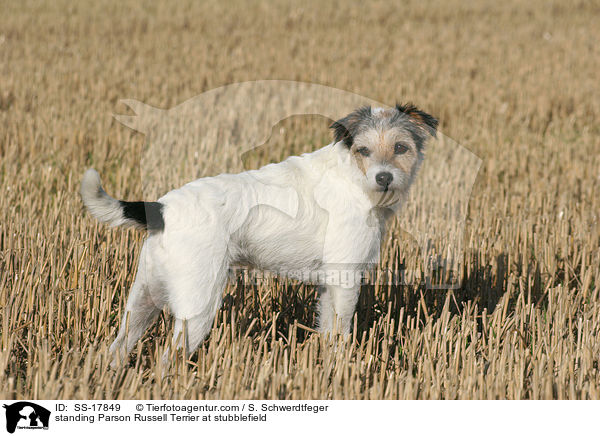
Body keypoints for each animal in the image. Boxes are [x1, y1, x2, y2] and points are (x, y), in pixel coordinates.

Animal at [79, 103, 436, 362]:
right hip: (197, 308)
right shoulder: (346, 279)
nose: (383, 178)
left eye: (401, 147)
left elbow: (326, 329)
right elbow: (342, 331)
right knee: (167, 360)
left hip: (142, 302)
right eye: (363, 150)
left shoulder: (328, 285)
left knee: (115, 350)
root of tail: (163, 208)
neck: (353, 176)